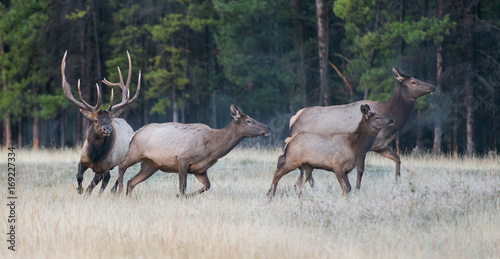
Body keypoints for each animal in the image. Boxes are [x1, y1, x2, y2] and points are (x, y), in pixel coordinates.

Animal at [62, 50, 142, 195]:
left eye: (110, 120)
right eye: (95, 120)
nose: (107, 130)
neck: (95, 156)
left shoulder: (103, 168)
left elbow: (92, 186)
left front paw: (84, 192)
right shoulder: (82, 160)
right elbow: (79, 176)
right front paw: (79, 189)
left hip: (125, 158)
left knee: (117, 177)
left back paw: (112, 191)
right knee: (109, 178)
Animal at [113, 104, 272, 198]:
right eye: (249, 121)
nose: (268, 128)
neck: (212, 149)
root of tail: (135, 133)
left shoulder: (200, 169)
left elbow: (207, 186)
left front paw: (183, 196)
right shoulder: (182, 159)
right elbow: (182, 187)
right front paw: (179, 196)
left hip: (150, 165)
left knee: (132, 181)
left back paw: (126, 195)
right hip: (134, 152)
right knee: (121, 166)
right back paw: (118, 190)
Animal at [290, 67, 438, 187]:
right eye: (414, 82)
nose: (434, 87)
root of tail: (293, 119)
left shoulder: (381, 146)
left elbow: (397, 158)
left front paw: (397, 182)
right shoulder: (364, 147)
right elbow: (360, 170)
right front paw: (357, 189)